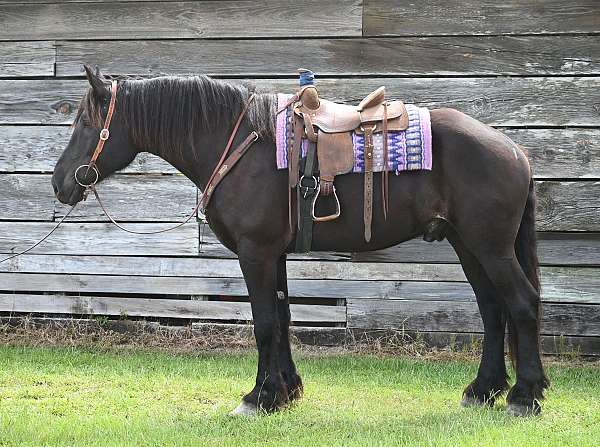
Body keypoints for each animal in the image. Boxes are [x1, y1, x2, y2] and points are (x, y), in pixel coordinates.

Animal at [51, 65, 548, 418]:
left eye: (85, 124)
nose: (60, 183)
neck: (238, 144)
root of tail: (514, 151)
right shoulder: (276, 255)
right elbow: (284, 317)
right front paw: (284, 393)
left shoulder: (255, 253)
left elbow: (264, 323)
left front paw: (257, 398)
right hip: (468, 245)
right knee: (492, 309)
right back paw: (483, 391)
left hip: (490, 247)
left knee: (521, 303)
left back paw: (524, 397)